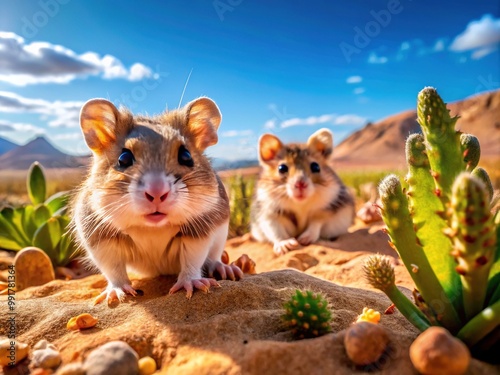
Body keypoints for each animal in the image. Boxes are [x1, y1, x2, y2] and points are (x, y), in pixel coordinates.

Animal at [72, 97, 242, 306]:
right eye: (123, 158)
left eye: (186, 156)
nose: (157, 193)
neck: (153, 228)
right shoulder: (99, 238)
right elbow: (113, 269)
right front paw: (116, 293)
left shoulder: (199, 231)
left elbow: (193, 260)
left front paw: (191, 284)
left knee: (212, 258)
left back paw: (225, 268)